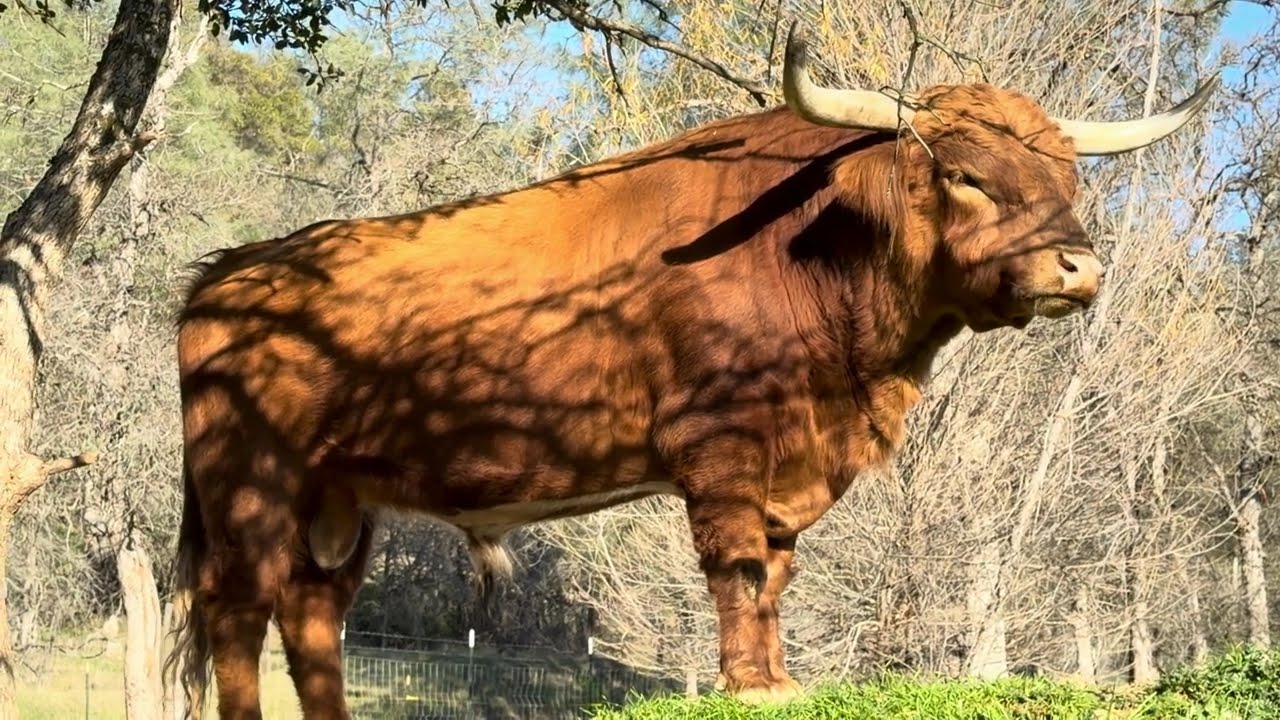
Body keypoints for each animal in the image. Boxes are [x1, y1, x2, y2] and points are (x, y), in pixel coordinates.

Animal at [163, 21, 1217, 720]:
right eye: (963, 174)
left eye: (1069, 178)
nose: (1076, 268)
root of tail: (229, 269)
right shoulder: (722, 443)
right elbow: (738, 566)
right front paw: (753, 685)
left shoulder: (793, 462)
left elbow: (778, 574)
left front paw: (780, 675)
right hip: (250, 481)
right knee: (238, 607)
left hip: (339, 500)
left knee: (312, 616)